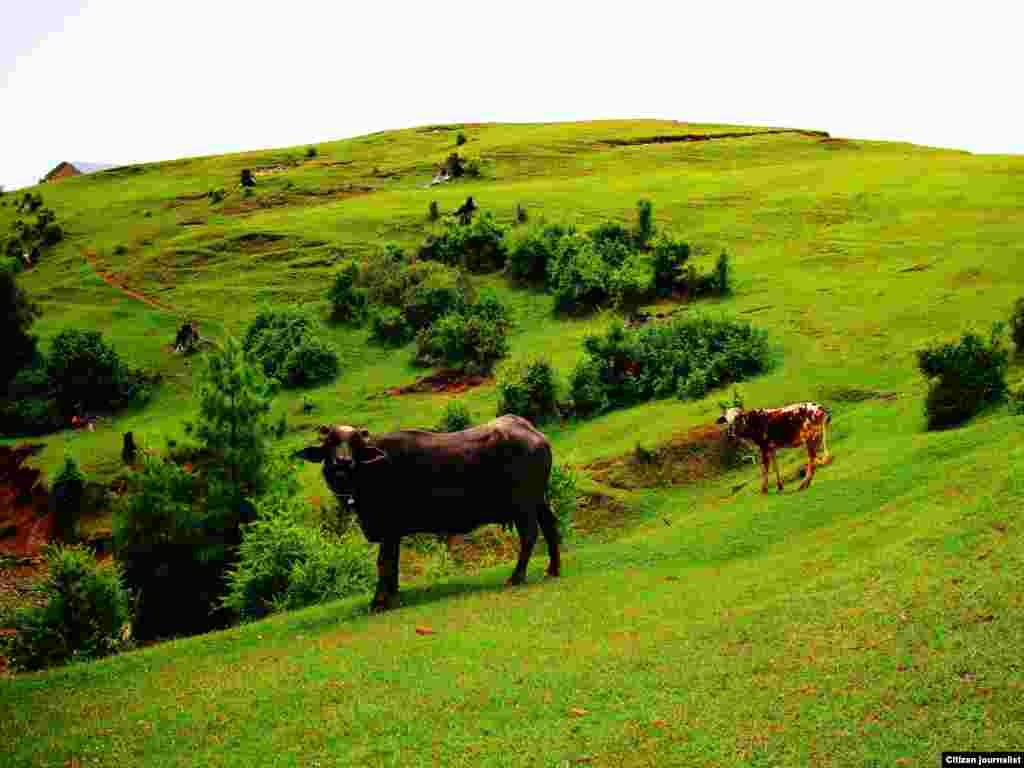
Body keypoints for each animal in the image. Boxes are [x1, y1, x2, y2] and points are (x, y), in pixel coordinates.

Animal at [292, 415, 565, 614]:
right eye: (331, 443)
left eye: (355, 444)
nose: (342, 462)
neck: (371, 472)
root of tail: (535, 434)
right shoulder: (394, 534)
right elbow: (393, 563)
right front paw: (394, 594)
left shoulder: (389, 529)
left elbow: (384, 563)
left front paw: (379, 601)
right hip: (538, 500)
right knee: (550, 527)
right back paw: (552, 569)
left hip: (523, 505)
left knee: (529, 535)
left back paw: (516, 577)